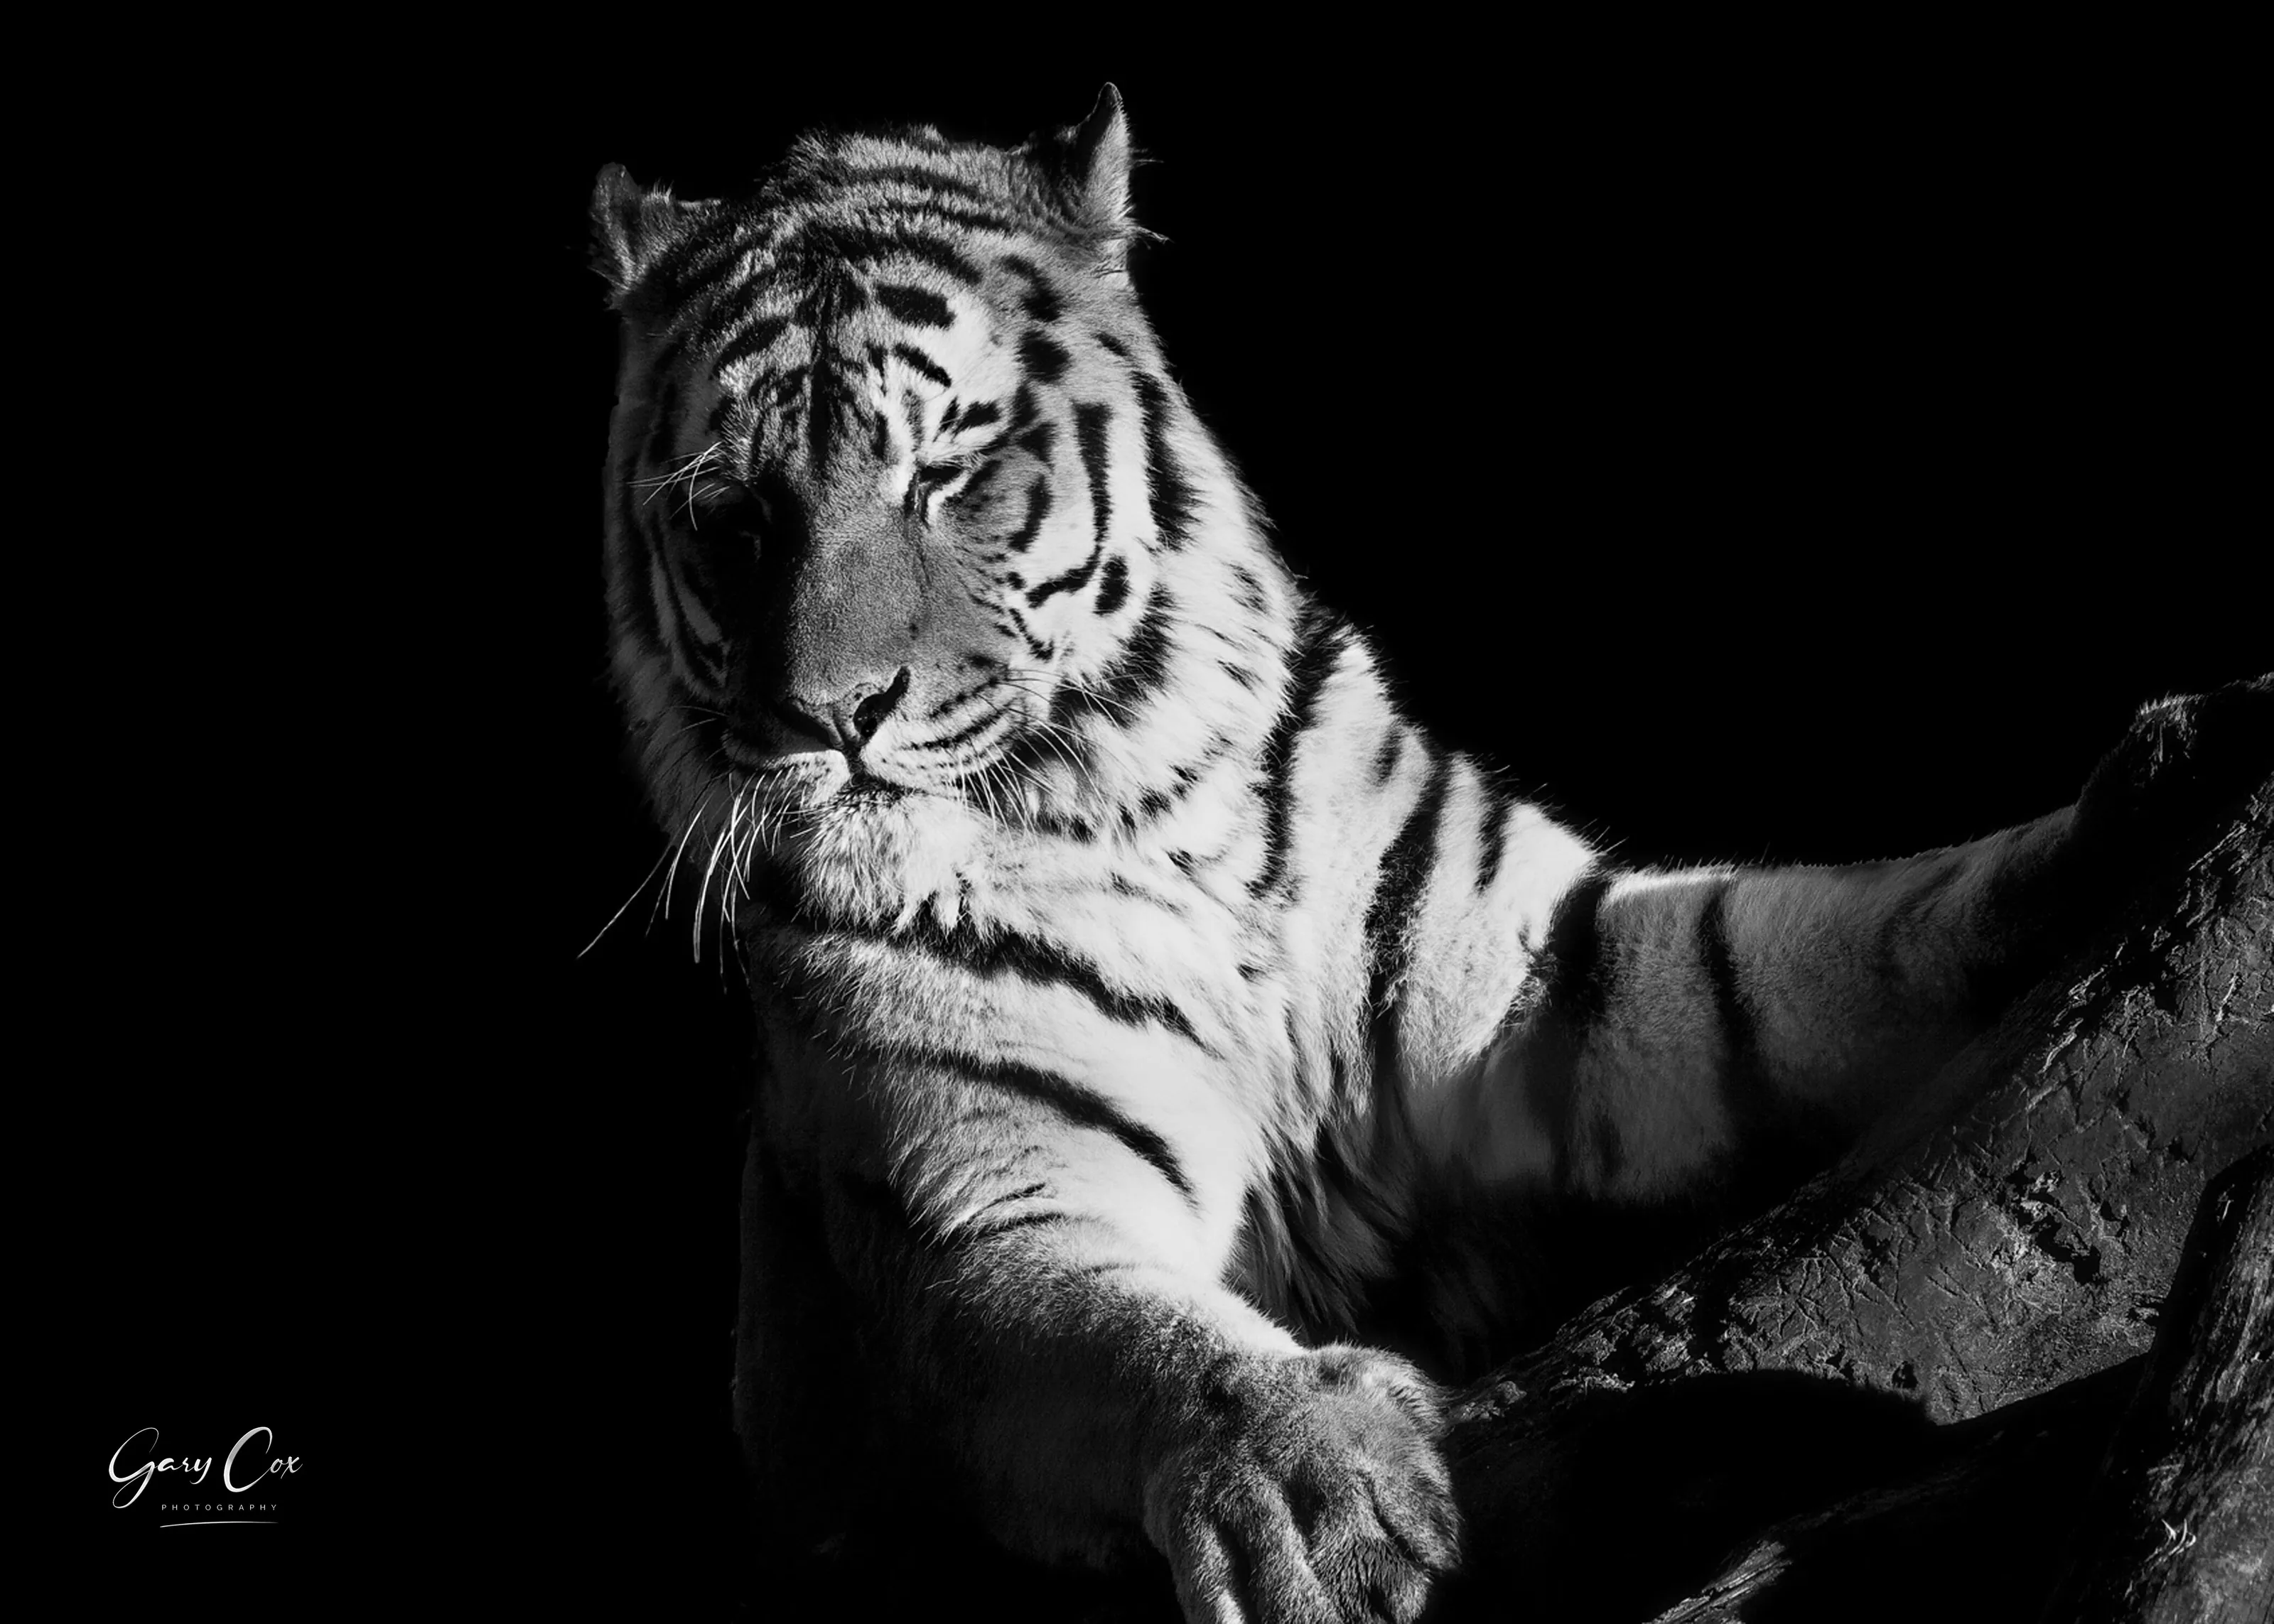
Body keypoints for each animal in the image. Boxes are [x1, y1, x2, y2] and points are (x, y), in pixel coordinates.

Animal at [590, 88, 2270, 1624]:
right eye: (734, 519)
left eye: (946, 470)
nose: (832, 716)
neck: (1128, 808)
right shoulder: (974, 1212)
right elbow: (1124, 1334)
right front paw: (1317, 1488)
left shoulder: (1549, 990)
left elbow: (1852, 935)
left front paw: (2179, 761)